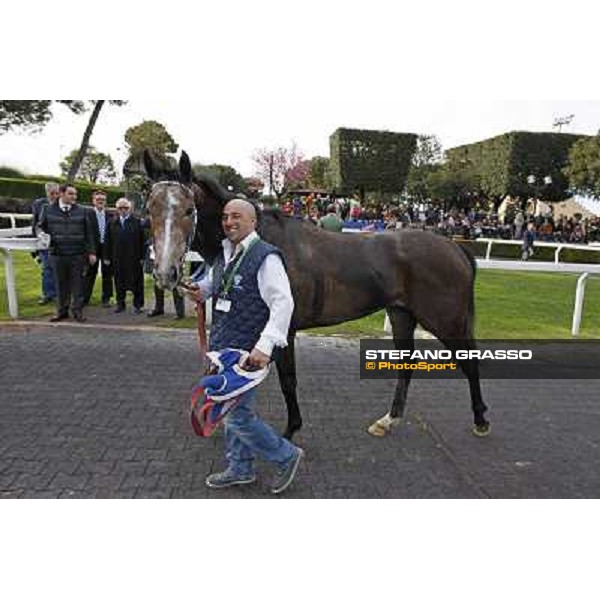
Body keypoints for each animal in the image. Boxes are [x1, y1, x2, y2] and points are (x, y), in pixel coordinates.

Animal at [143, 150, 490, 440]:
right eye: (150, 208)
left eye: (189, 209)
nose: (164, 272)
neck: (262, 238)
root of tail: (455, 247)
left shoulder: (283, 329)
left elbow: (287, 380)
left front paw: (290, 430)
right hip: (402, 314)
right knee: (406, 363)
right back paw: (387, 420)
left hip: (445, 320)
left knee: (469, 362)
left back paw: (480, 420)